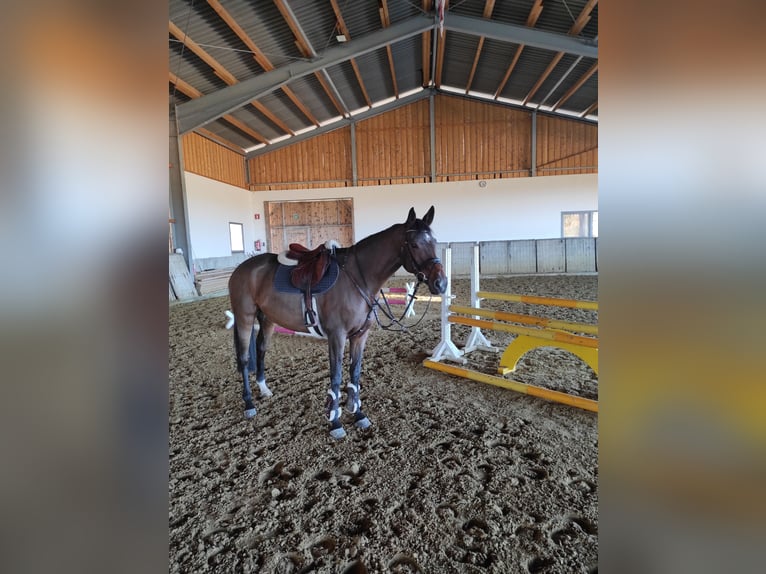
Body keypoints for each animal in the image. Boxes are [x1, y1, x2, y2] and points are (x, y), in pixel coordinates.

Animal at [225, 207, 448, 440]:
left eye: (434, 241)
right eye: (414, 244)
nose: (441, 283)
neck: (359, 277)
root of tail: (242, 268)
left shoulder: (360, 336)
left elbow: (355, 374)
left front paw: (358, 414)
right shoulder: (337, 336)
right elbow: (337, 376)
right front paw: (335, 422)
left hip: (267, 319)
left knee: (261, 349)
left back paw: (264, 389)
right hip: (244, 317)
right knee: (243, 358)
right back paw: (249, 404)